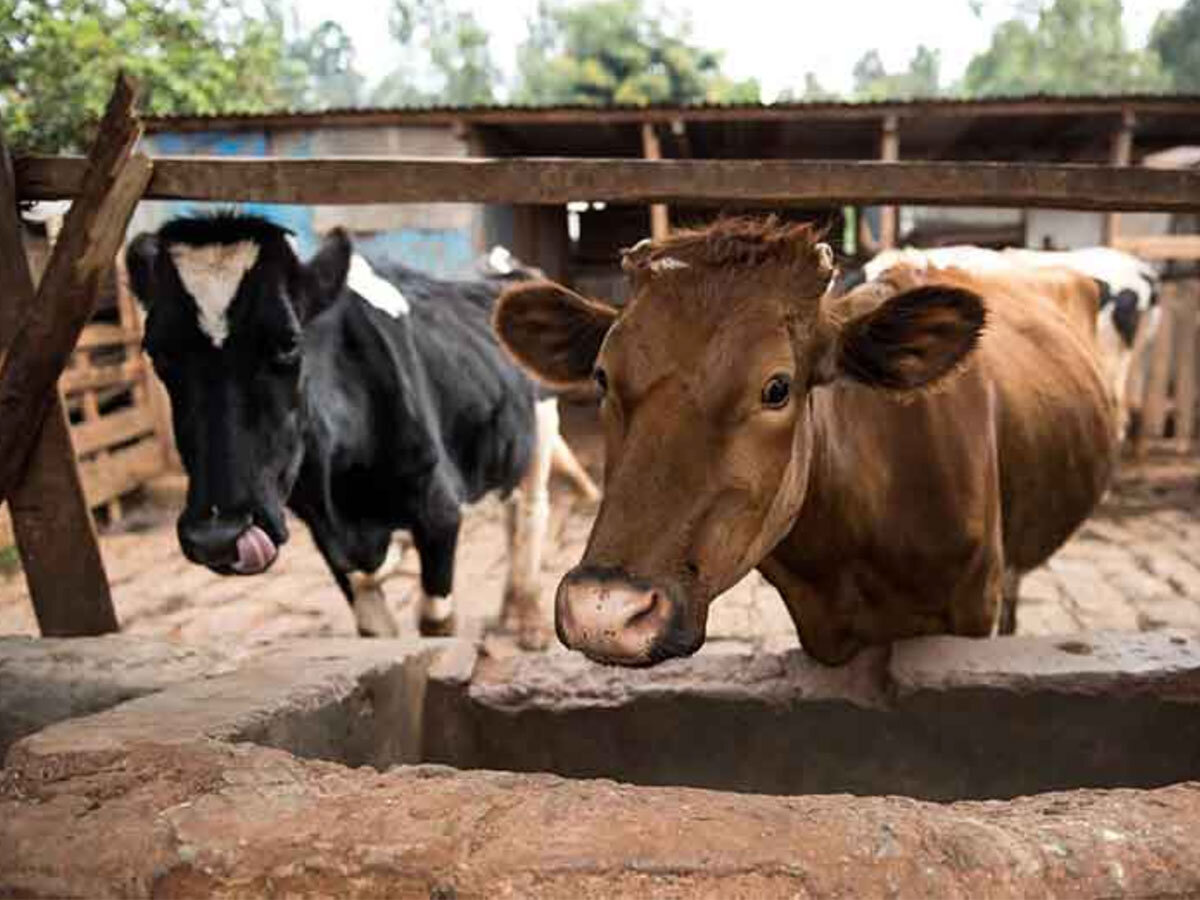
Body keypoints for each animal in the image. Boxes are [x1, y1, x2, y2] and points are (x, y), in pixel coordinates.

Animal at [125, 213, 594, 649]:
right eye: (156, 350)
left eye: (289, 342)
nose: (217, 535)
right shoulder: (326, 534)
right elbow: (372, 628)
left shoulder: (439, 511)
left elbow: (435, 620)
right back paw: (507, 611)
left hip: (541, 425)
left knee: (530, 514)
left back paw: (529, 619)